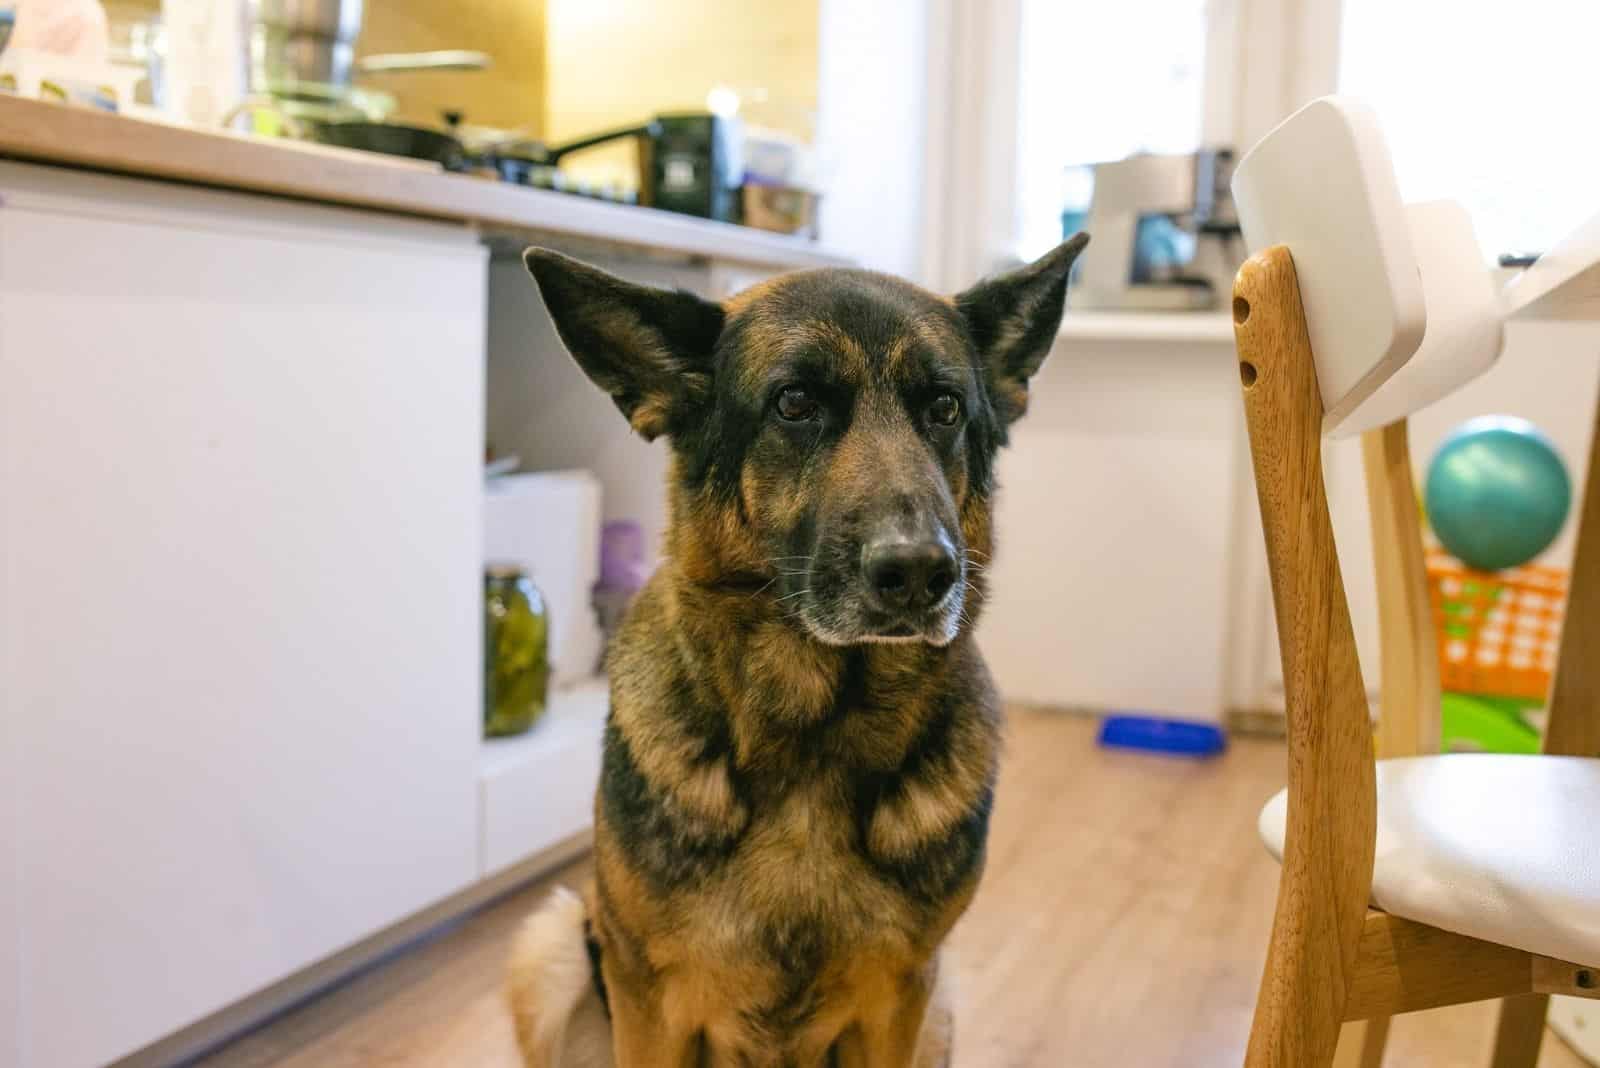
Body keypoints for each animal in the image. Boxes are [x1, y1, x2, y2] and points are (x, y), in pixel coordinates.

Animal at [505, 235, 1094, 1068]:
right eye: (794, 404)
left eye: (944, 409)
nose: (922, 572)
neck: (818, 732)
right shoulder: (647, 1001)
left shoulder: (900, 1001)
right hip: (549, 948)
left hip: (942, 1006)